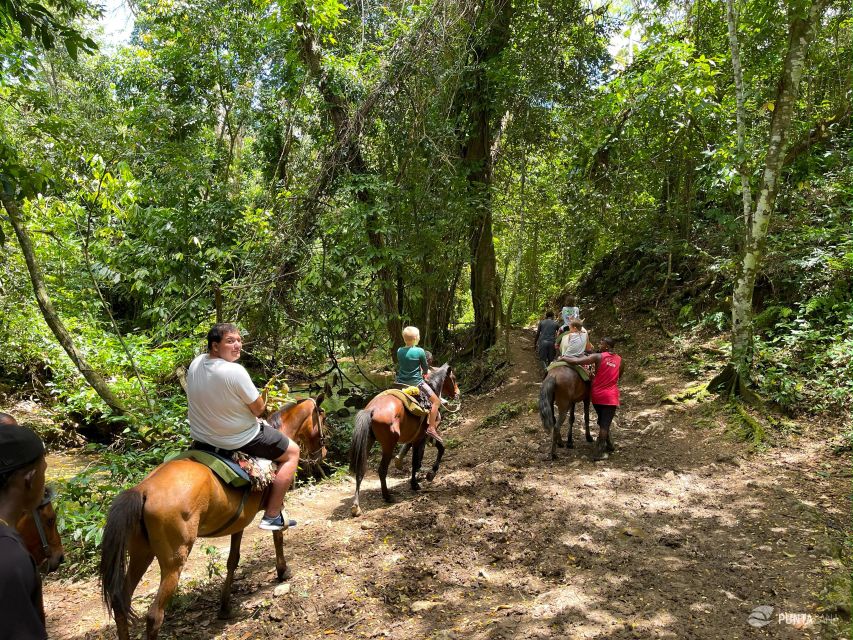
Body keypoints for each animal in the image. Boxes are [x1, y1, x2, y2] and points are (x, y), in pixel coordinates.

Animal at [99, 396, 326, 640]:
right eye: (322, 417)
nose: (322, 453)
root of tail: (143, 490)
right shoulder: (276, 505)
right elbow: (278, 535)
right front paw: (283, 572)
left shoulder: (239, 521)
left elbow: (232, 560)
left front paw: (225, 607)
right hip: (174, 560)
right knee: (153, 616)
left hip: (141, 552)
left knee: (121, 603)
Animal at [348, 362, 460, 516]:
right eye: (453, 378)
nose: (457, 393)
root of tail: (372, 410)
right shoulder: (423, 437)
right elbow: (423, 457)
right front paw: (424, 478)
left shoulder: (419, 438)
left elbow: (421, 457)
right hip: (389, 445)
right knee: (382, 470)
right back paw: (387, 496)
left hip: (368, 442)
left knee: (361, 470)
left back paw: (356, 506)